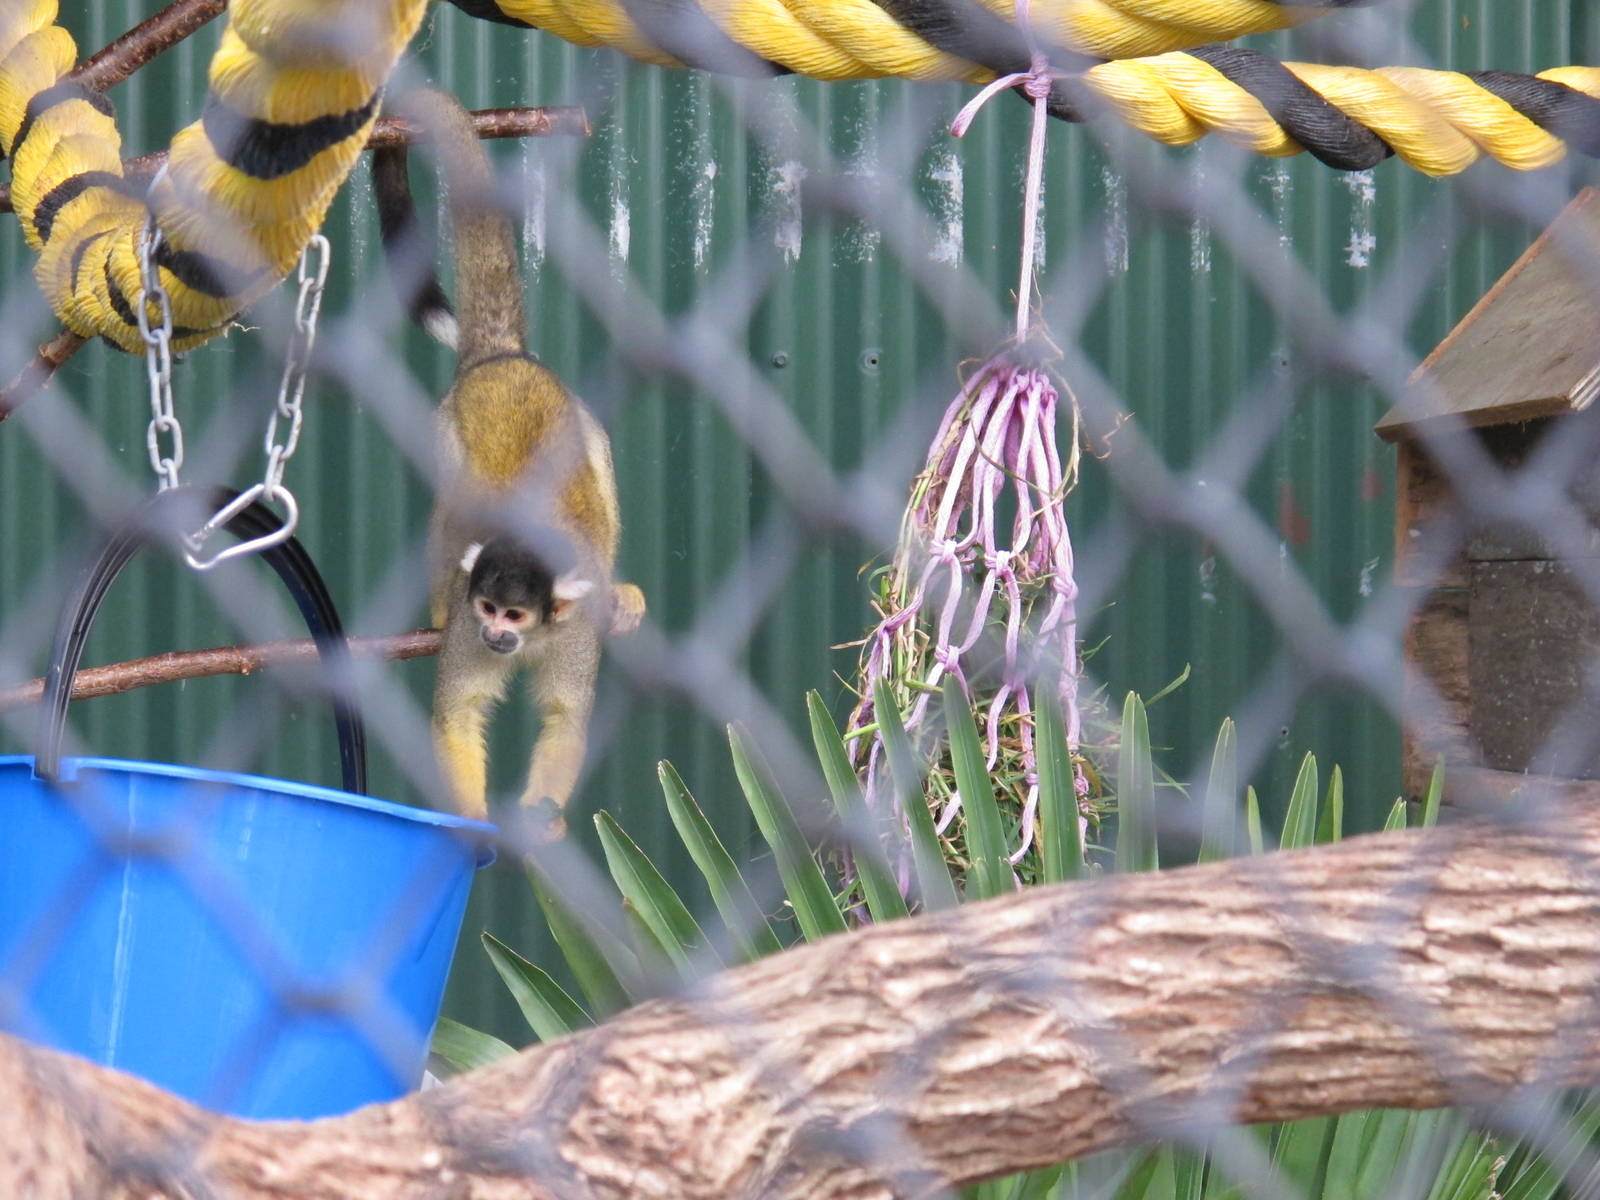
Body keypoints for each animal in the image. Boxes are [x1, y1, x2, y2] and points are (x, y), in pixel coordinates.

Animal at [374, 88, 645, 835]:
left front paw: (541, 821)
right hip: (446, 429)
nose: (496, 633)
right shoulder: (473, 628)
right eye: (491, 609)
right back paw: (439, 600)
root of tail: (502, 356)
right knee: (449, 504)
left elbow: (565, 717)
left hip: (581, 418)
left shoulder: (576, 633)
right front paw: (473, 827)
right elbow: (459, 711)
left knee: (601, 470)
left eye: (515, 617)